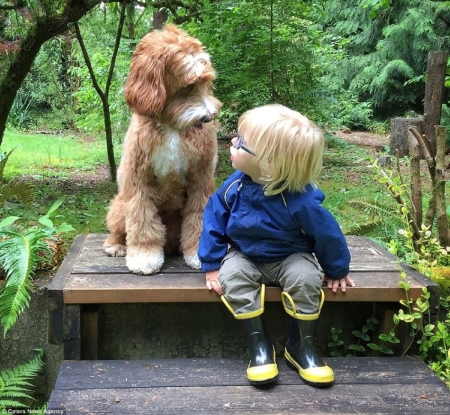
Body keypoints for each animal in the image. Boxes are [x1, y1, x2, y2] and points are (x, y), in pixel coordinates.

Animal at [102, 24, 221, 274]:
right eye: (188, 86)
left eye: (206, 83)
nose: (208, 117)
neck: (172, 126)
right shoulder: (139, 179)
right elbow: (142, 220)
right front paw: (144, 257)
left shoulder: (201, 178)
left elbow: (199, 216)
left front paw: (199, 253)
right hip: (119, 205)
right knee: (118, 229)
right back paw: (116, 246)